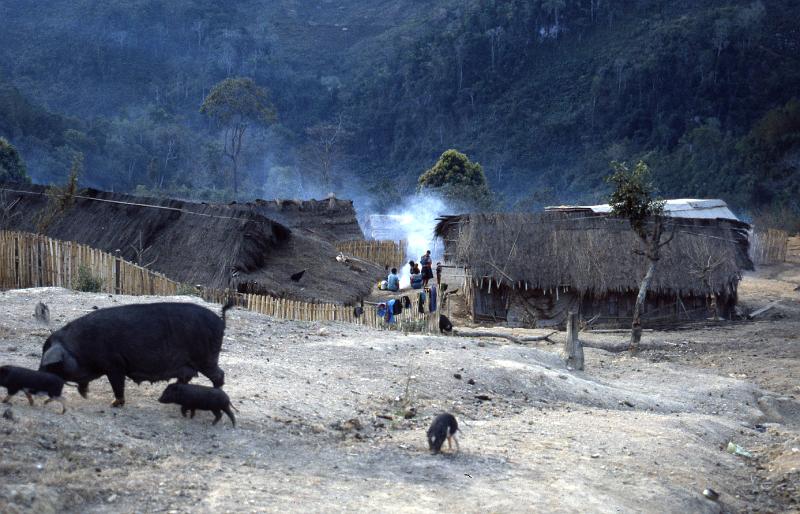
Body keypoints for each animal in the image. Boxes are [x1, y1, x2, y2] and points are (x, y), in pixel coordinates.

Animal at [39, 300, 233, 404]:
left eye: (49, 364)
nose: (39, 375)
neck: (79, 348)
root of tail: (220, 321)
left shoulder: (115, 364)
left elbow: (117, 384)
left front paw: (114, 404)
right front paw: (85, 395)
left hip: (206, 358)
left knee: (219, 375)